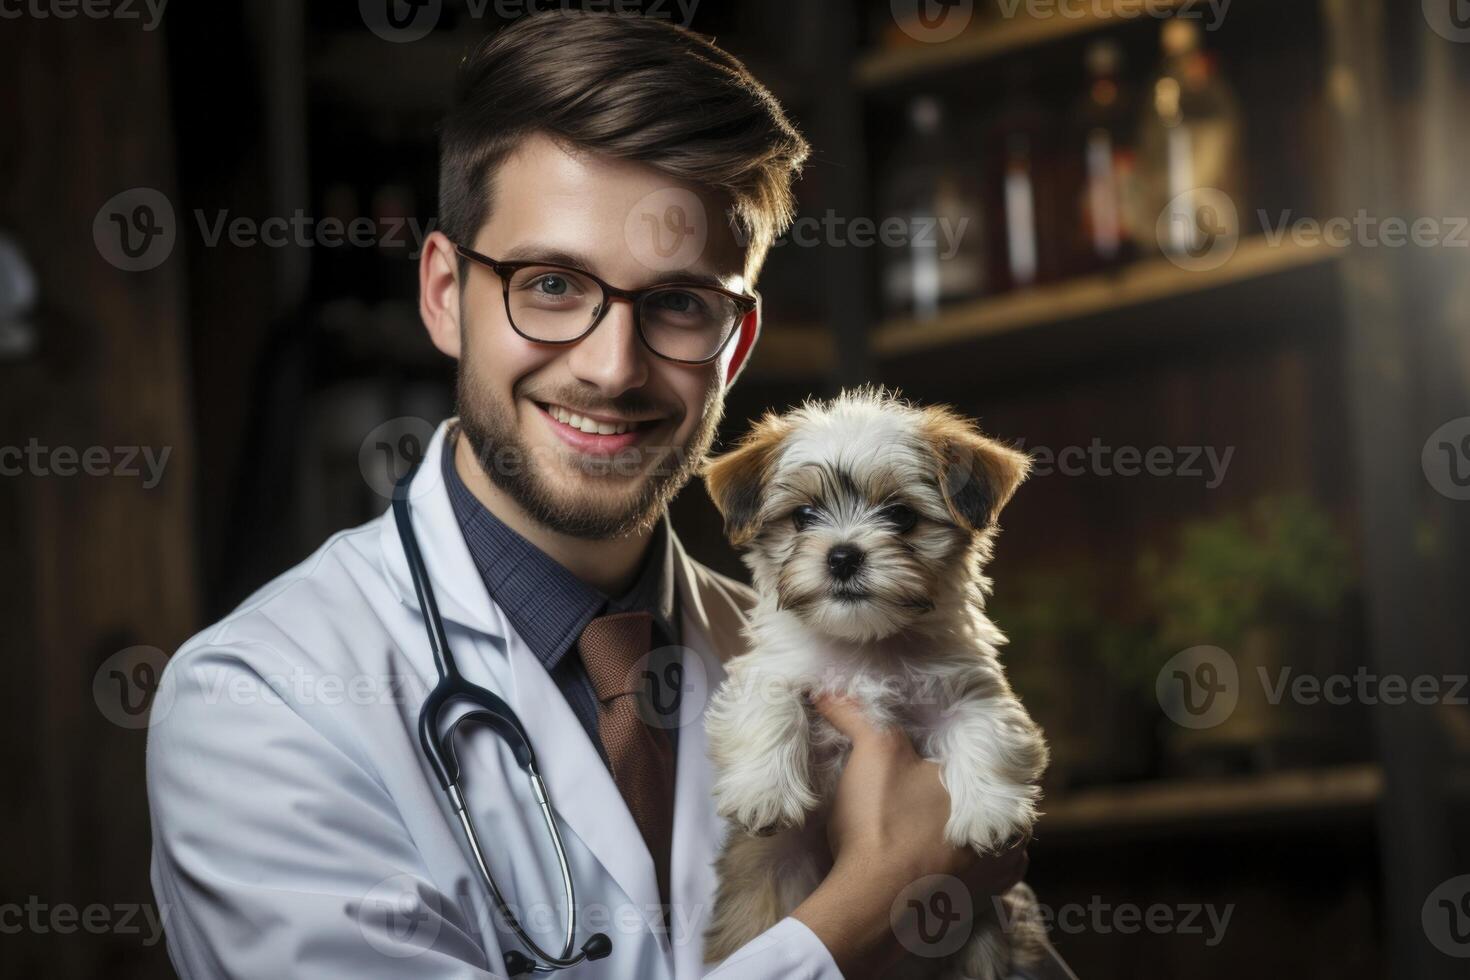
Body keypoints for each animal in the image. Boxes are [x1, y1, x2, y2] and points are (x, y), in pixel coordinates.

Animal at [699, 387, 1046, 975]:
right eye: (804, 516)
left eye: (902, 516)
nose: (843, 555)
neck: (866, 644)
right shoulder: (768, 670)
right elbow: (770, 701)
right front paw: (765, 792)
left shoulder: (970, 685)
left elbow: (984, 728)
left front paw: (989, 812)